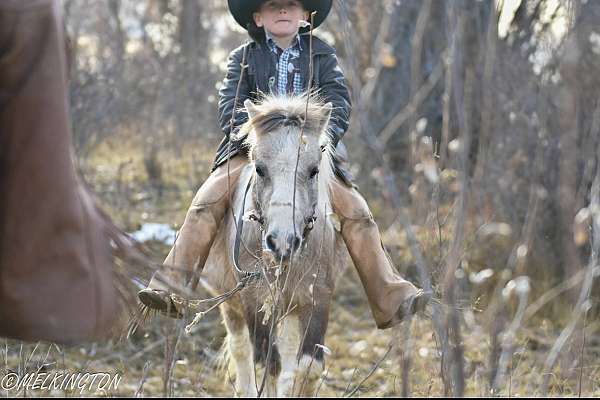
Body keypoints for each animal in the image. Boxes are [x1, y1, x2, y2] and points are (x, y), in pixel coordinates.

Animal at [202, 94, 350, 396]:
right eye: (259, 168)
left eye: (314, 170)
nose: (282, 241)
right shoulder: (254, 301)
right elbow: (267, 365)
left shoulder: (316, 298)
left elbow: (306, 367)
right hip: (232, 305)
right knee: (241, 350)